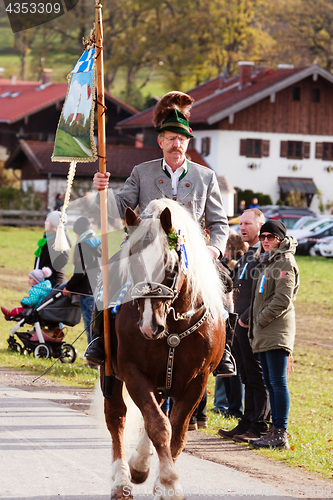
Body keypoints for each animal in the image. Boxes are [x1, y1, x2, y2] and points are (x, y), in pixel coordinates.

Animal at [100, 199, 226, 500]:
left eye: (170, 266)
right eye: (132, 261)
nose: (149, 326)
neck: (175, 324)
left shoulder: (198, 379)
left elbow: (176, 431)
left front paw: (163, 482)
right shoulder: (133, 373)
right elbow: (158, 425)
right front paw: (169, 482)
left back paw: (140, 464)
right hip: (111, 373)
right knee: (117, 417)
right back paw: (121, 480)